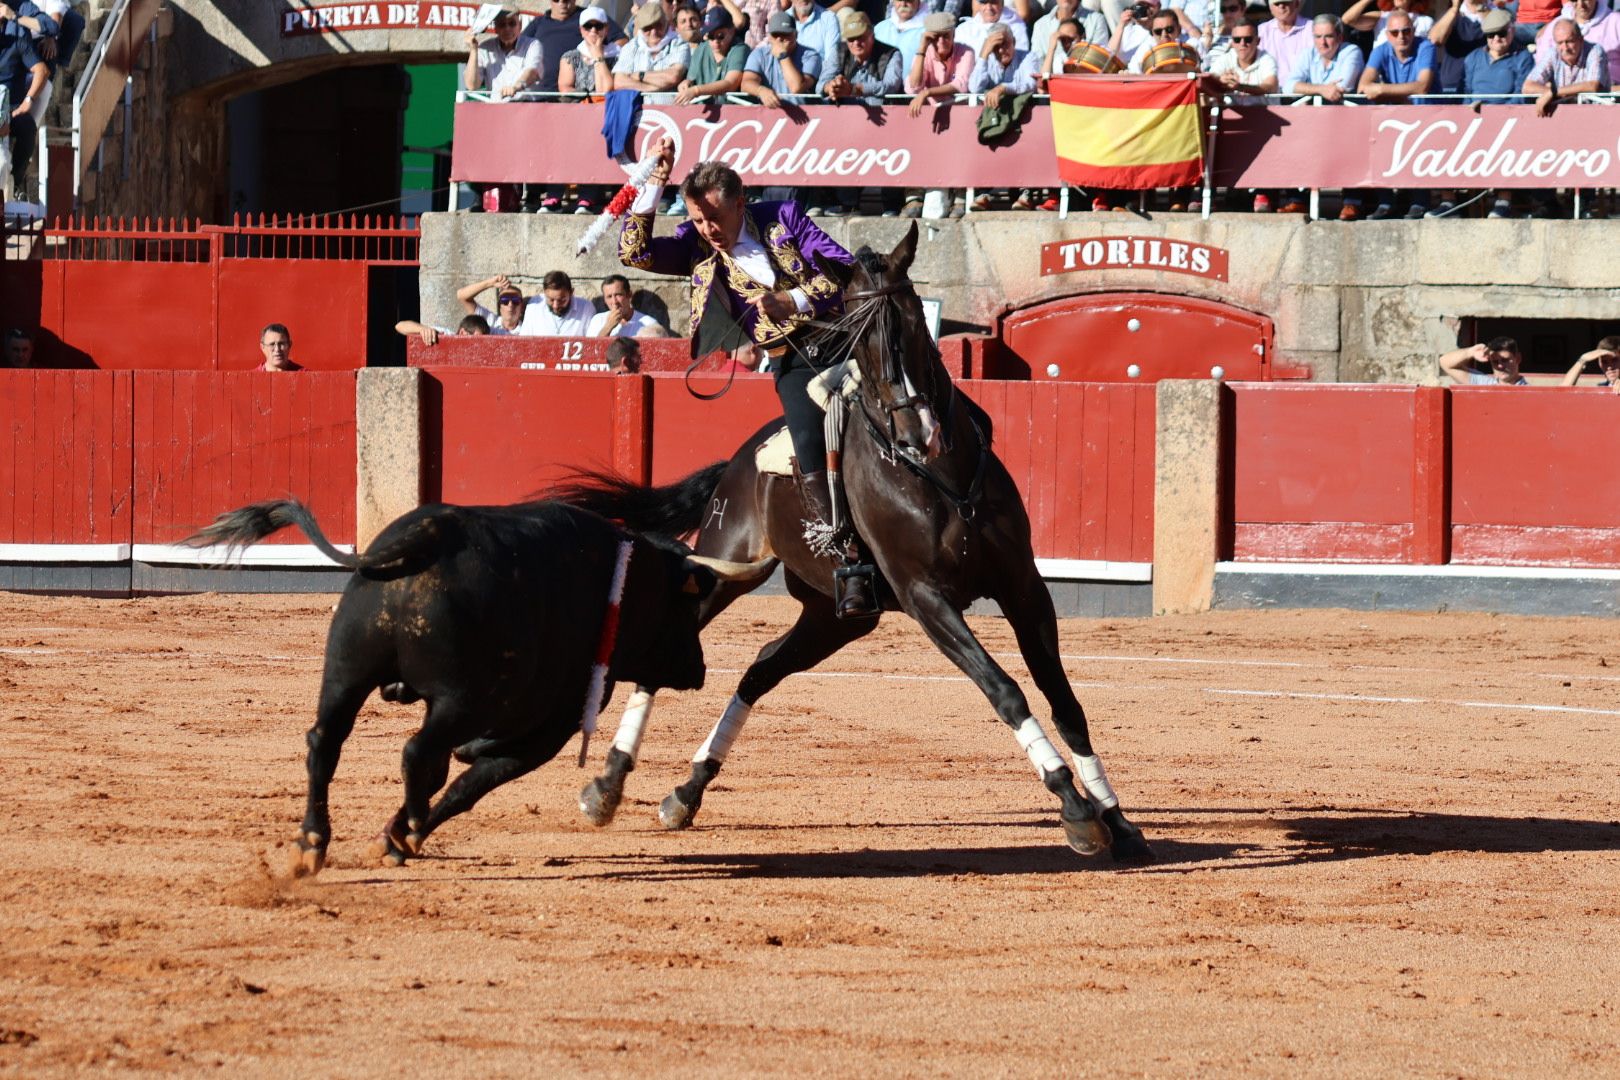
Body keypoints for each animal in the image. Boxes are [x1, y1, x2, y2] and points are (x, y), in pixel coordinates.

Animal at [189, 498, 764, 880]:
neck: (627, 580)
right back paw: (402, 826)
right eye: (686, 606)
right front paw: (402, 836)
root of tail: (429, 535)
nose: (698, 669)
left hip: (344, 674)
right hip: (462, 700)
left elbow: (450, 773)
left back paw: (312, 843)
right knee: (417, 751)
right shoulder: (545, 732)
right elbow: (468, 784)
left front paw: (393, 837)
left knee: (325, 743)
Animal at [560, 223, 1153, 867]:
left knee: (760, 671)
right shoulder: (927, 599)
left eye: (916, 320)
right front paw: (1076, 810)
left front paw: (1117, 819)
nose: (920, 431)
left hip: (837, 614)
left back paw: (686, 792)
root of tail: (736, 464)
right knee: (676, 647)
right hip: (727, 567)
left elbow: (1064, 700)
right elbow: (1005, 690)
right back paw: (606, 786)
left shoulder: (1024, 587)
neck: (937, 473)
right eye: (859, 338)